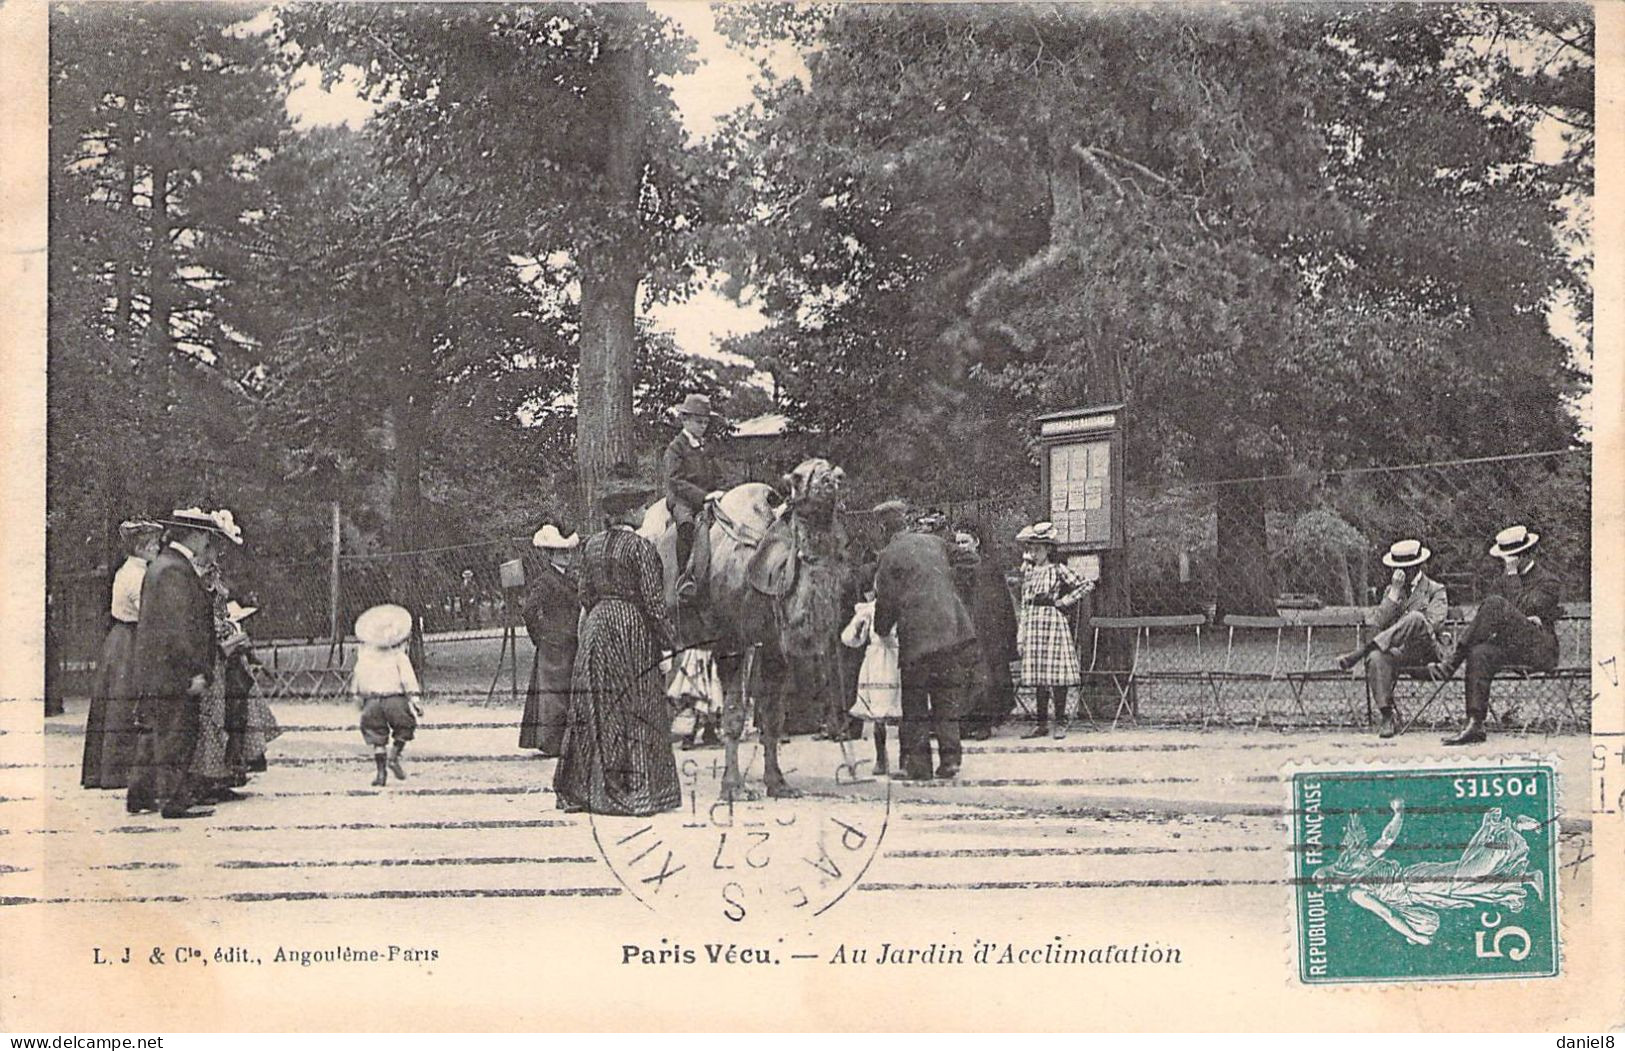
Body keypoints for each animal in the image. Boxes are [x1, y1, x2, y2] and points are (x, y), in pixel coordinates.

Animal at [640, 458, 858, 799]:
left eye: (833, 472)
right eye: (798, 477)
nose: (831, 479)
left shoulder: (773, 647)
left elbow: (772, 717)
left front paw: (778, 783)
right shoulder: (732, 643)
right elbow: (734, 713)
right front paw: (732, 787)